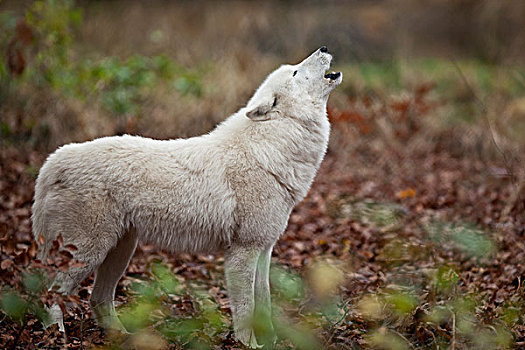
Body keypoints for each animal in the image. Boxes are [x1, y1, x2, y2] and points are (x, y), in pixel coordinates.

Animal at [33, 47, 344, 348]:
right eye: (296, 72)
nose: (324, 47)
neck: (268, 147)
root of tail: (53, 162)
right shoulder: (242, 251)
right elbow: (245, 308)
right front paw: (249, 345)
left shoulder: (264, 249)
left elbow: (264, 303)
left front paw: (271, 342)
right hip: (88, 253)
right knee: (50, 294)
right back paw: (56, 337)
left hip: (119, 251)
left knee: (97, 298)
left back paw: (123, 336)